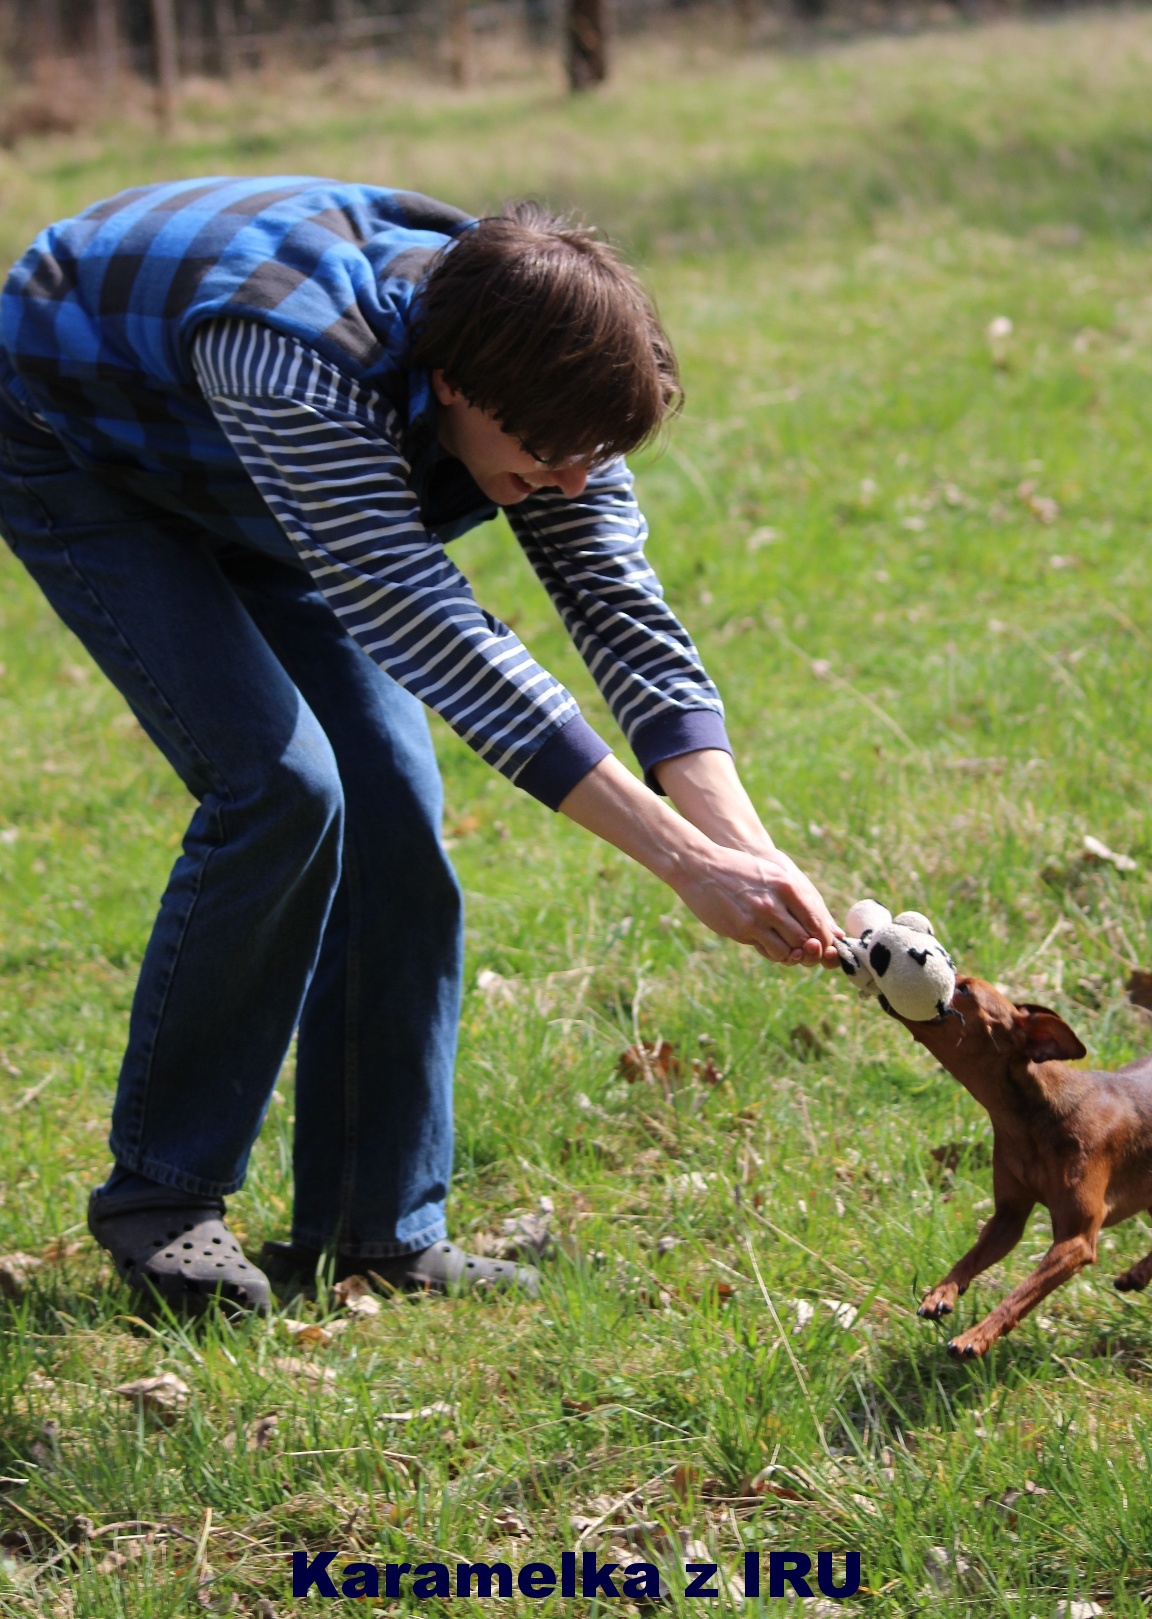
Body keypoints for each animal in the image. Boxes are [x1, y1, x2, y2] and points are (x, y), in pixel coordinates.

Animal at [893, 977, 1152, 1359]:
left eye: (966, 990)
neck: (1032, 1117)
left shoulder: (1076, 1240)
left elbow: (1019, 1295)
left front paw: (976, 1336)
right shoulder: (1008, 1218)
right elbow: (969, 1259)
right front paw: (942, 1293)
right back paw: (1139, 1274)